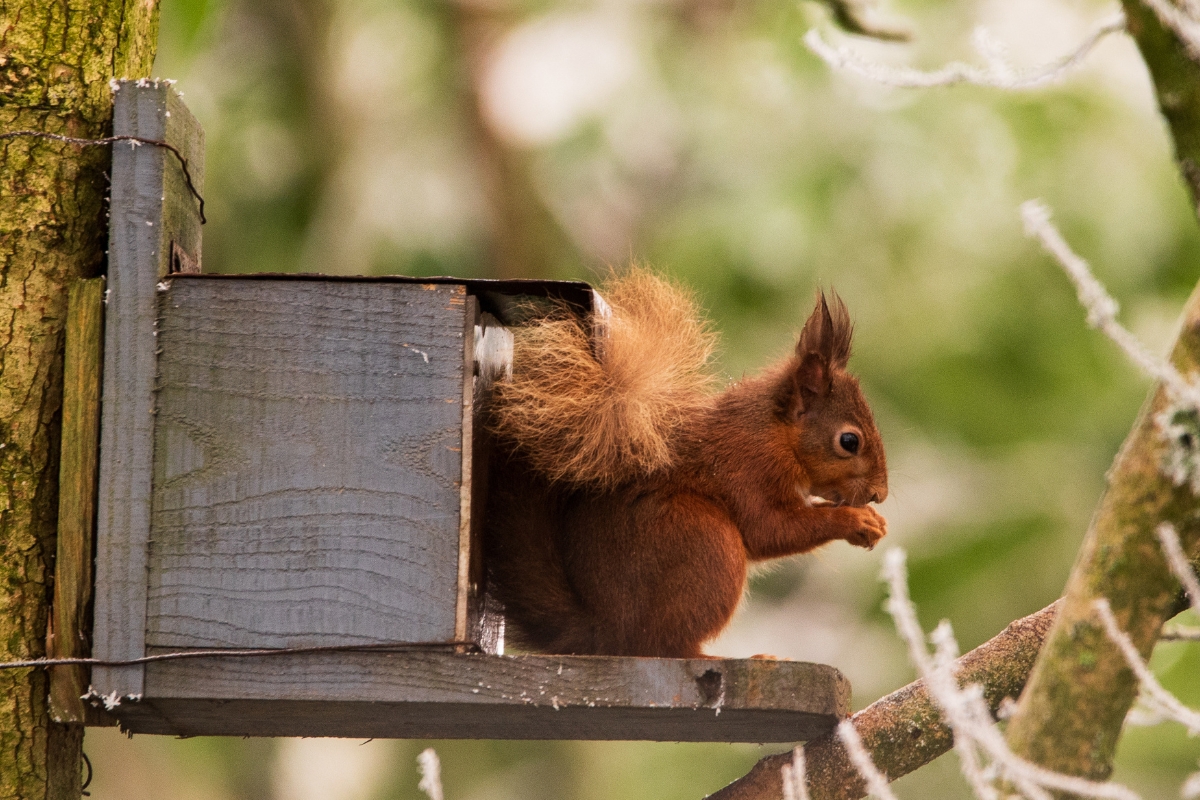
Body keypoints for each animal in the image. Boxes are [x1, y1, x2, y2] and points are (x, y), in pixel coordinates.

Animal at [482, 268, 888, 658]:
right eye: (849, 441)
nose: (880, 494)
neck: (777, 435)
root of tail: (603, 634)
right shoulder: (748, 467)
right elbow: (770, 529)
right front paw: (856, 521)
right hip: (703, 542)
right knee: (663, 647)